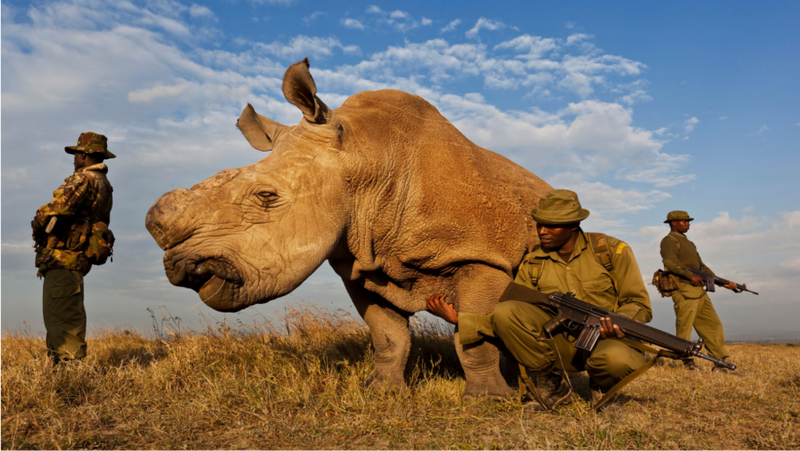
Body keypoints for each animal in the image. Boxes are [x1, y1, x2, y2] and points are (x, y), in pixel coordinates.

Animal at [146, 59, 552, 399]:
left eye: (266, 196)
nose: (182, 267)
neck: (366, 159)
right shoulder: (361, 264)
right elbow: (387, 336)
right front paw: (383, 392)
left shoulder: (483, 257)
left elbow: (474, 337)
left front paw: (489, 400)